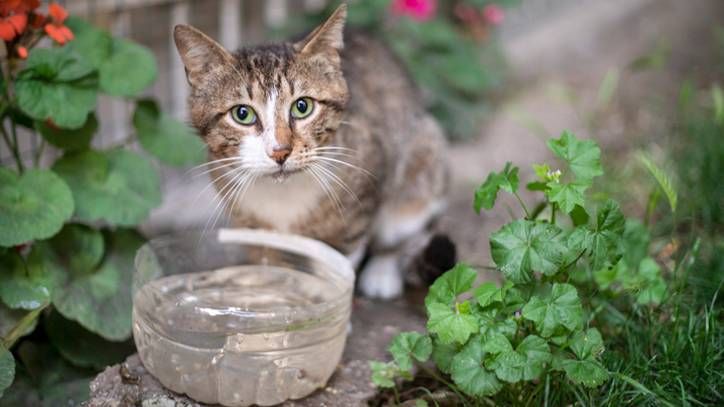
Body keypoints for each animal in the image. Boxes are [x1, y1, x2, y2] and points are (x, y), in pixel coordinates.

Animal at [173, 3, 450, 300]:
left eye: (302, 106)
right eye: (242, 114)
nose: (280, 151)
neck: (282, 195)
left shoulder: (359, 201)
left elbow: (337, 264)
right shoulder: (247, 219)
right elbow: (268, 261)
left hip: (422, 161)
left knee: (396, 231)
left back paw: (382, 273)